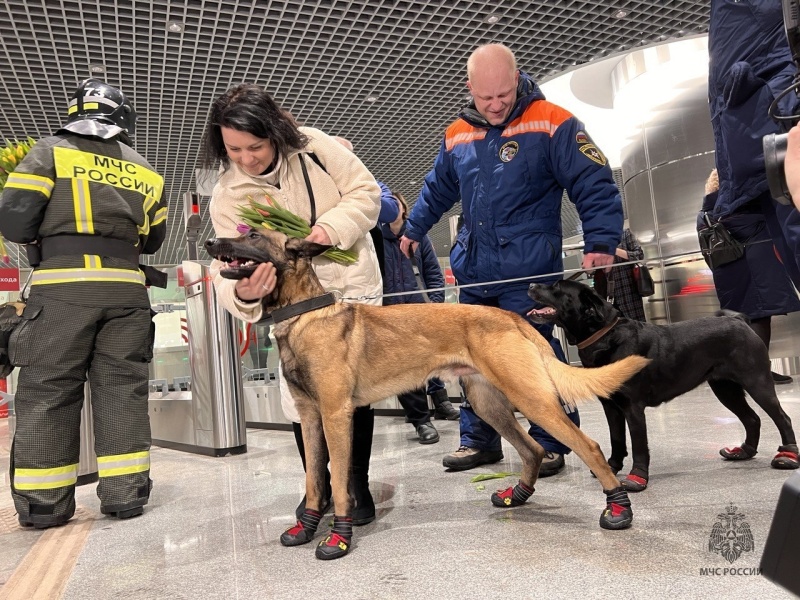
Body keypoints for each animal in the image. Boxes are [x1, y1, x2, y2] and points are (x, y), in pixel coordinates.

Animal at [206, 231, 648, 564]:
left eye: (253, 235)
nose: (210, 241)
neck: (303, 315)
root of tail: (511, 317)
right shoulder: (311, 418)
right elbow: (315, 479)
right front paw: (306, 526)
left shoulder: (335, 415)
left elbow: (340, 481)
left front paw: (338, 537)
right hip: (488, 404)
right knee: (532, 449)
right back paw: (517, 496)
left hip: (532, 400)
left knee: (587, 447)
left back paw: (618, 508)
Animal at [528, 278, 796, 490]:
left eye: (557, 287)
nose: (530, 285)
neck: (604, 337)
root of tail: (739, 321)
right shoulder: (611, 407)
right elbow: (617, 439)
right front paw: (611, 467)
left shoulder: (633, 407)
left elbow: (639, 445)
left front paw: (637, 478)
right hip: (724, 388)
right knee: (752, 418)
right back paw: (744, 451)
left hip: (756, 381)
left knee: (782, 417)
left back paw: (788, 455)